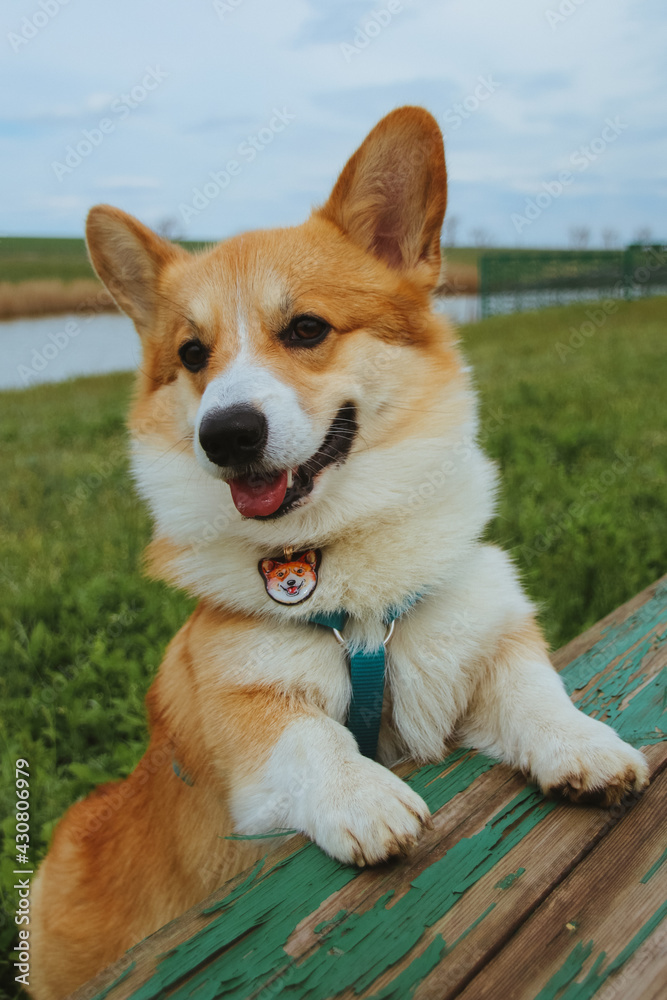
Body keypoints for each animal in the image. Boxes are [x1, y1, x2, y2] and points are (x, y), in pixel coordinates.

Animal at [30, 105, 648, 996]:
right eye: (191, 355)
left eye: (306, 329)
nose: (224, 435)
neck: (347, 582)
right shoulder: (252, 725)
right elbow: (312, 737)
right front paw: (368, 796)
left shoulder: (481, 644)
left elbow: (536, 692)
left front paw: (584, 747)